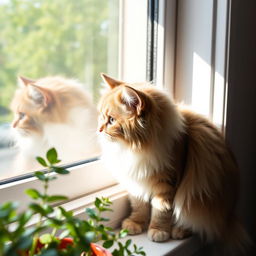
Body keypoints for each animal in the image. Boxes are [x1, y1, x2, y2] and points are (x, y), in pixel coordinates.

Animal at [97, 73, 250, 255]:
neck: (137, 149)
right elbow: (139, 205)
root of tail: (229, 216)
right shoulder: (136, 180)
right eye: (101, 117)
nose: (99, 129)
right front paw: (136, 223)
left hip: (198, 194)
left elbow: (161, 211)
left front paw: (158, 230)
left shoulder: (168, 184)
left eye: (111, 120)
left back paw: (179, 230)